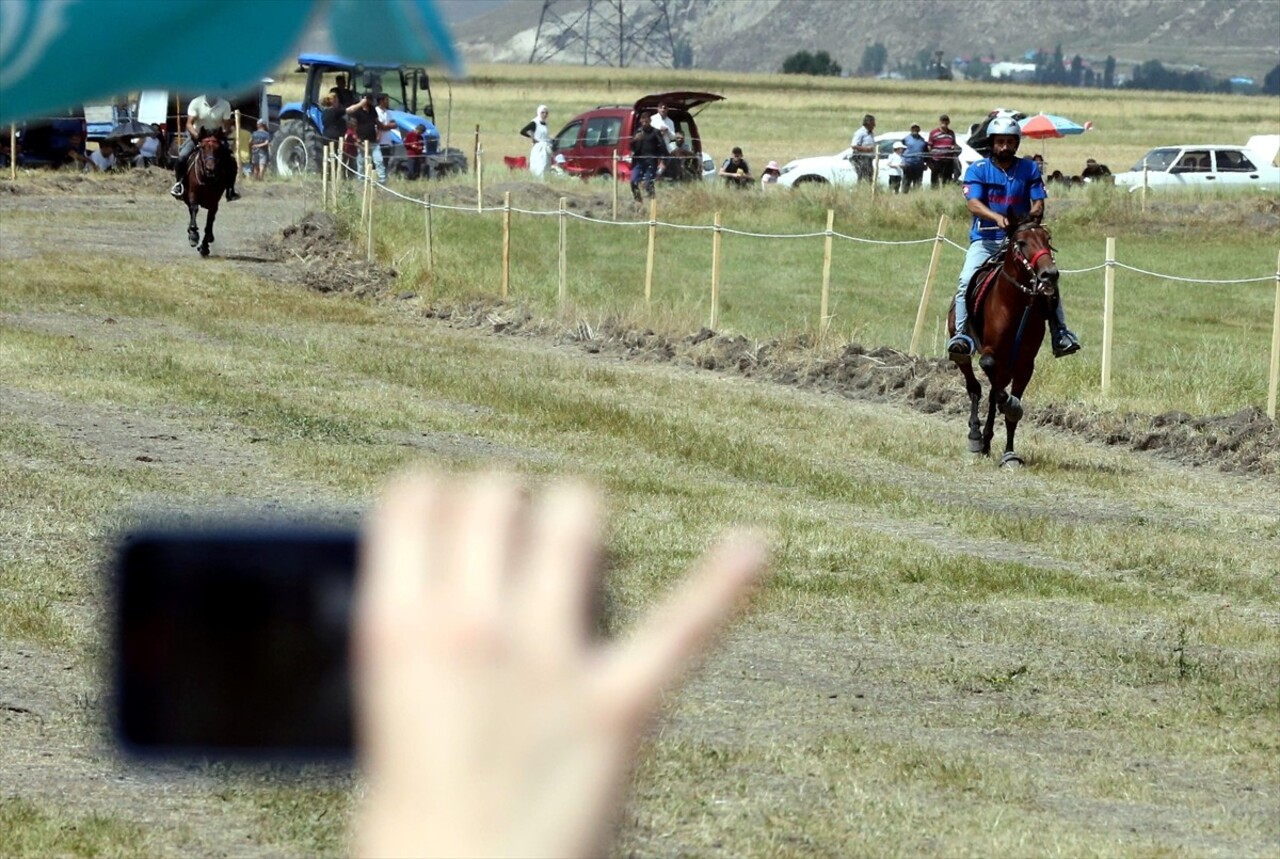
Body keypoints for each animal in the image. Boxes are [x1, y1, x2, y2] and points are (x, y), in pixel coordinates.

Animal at [952, 218, 1059, 465]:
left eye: (1047, 239)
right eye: (1022, 242)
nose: (1049, 274)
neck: (1016, 304)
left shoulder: (1024, 364)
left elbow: (1011, 408)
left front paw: (1009, 454)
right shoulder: (990, 356)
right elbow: (997, 390)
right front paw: (1007, 407)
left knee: (992, 393)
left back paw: (987, 441)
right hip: (964, 355)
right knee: (975, 387)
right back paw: (976, 437)